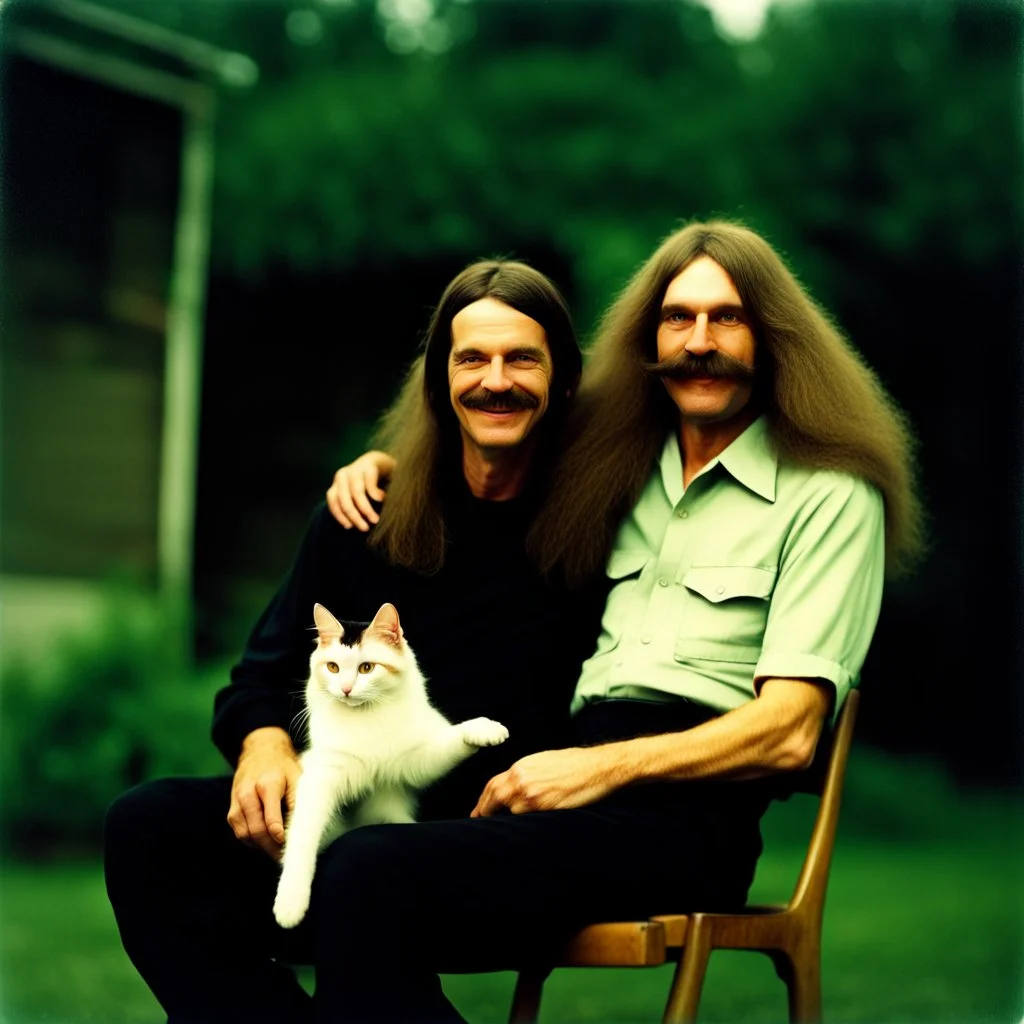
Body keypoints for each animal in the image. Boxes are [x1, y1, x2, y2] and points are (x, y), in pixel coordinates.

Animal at [274, 598, 509, 929]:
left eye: (366, 668)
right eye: (332, 668)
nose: (345, 689)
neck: (366, 718)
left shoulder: (416, 760)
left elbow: (455, 737)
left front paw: (486, 729)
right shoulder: (319, 779)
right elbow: (302, 839)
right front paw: (290, 903)